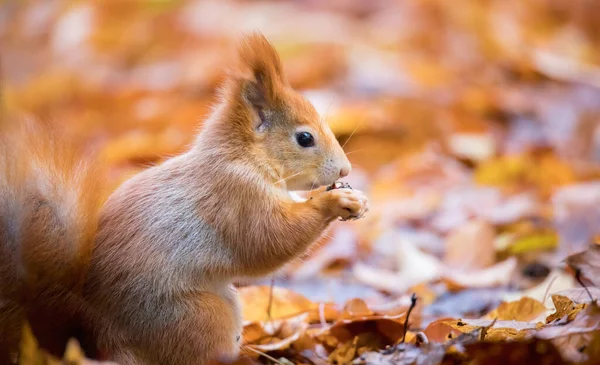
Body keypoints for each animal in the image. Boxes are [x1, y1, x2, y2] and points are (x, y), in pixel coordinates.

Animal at [0, 32, 368, 362]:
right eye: (304, 138)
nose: (345, 170)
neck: (244, 158)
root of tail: (99, 338)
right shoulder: (236, 197)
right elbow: (269, 240)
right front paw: (336, 203)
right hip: (199, 317)